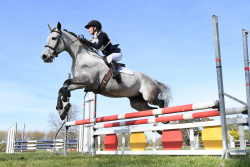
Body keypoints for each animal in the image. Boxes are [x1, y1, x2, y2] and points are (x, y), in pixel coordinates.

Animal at [41, 22, 171, 120]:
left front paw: (64, 103)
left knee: (161, 103)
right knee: (151, 110)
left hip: (149, 96)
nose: (44, 56)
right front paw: (62, 109)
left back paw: (165, 121)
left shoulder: (86, 80)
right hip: (137, 102)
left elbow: (65, 83)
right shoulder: (81, 83)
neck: (82, 57)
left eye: (54, 38)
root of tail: (155, 81)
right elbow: (62, 87)